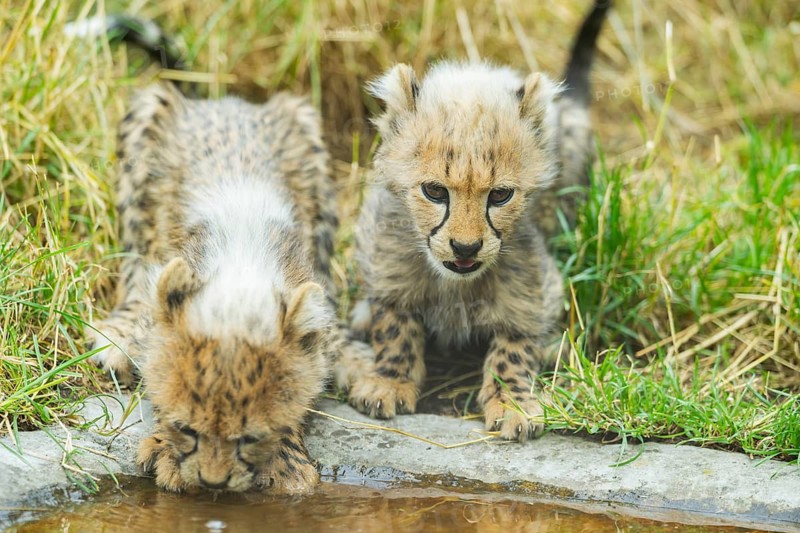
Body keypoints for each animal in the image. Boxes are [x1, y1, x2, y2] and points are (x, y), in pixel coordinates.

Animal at [342, 0, 611, 442]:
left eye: (500, 195)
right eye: (434, 191)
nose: (465, 247)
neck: (455, 283)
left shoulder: (534, 281)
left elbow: (515, 345)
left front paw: (513, 402)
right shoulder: (383, 249)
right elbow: (394, 321)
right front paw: (389, 379)